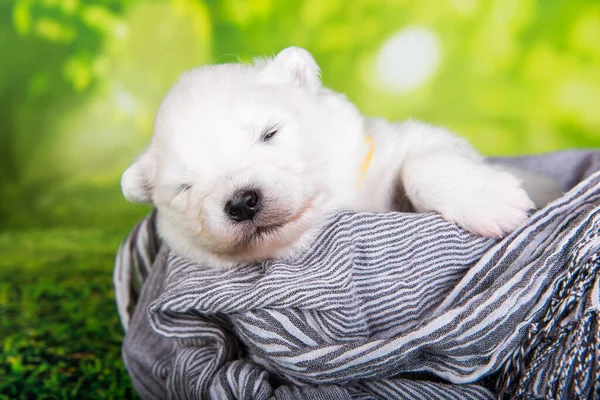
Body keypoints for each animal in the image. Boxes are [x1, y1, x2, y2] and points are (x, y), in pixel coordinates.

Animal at [120, 47, 564, 268]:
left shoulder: (394, 149)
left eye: (269, 133)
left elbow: (422, 157)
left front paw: (492, 202)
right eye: (184, 187)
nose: (242, 202)